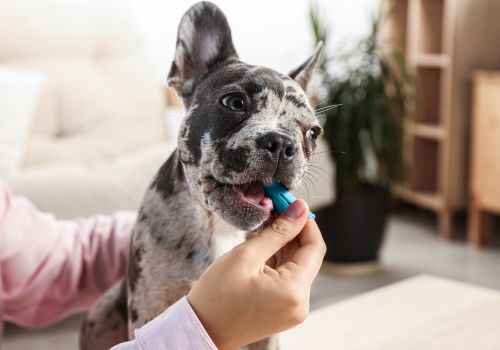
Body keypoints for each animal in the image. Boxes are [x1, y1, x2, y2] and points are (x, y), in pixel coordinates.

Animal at [80, 2, 322, 350]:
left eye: (313, 133)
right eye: (235, 102)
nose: (282, 143)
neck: (217, 226)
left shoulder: (267, 337)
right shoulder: (149, 305)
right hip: (103, 310)